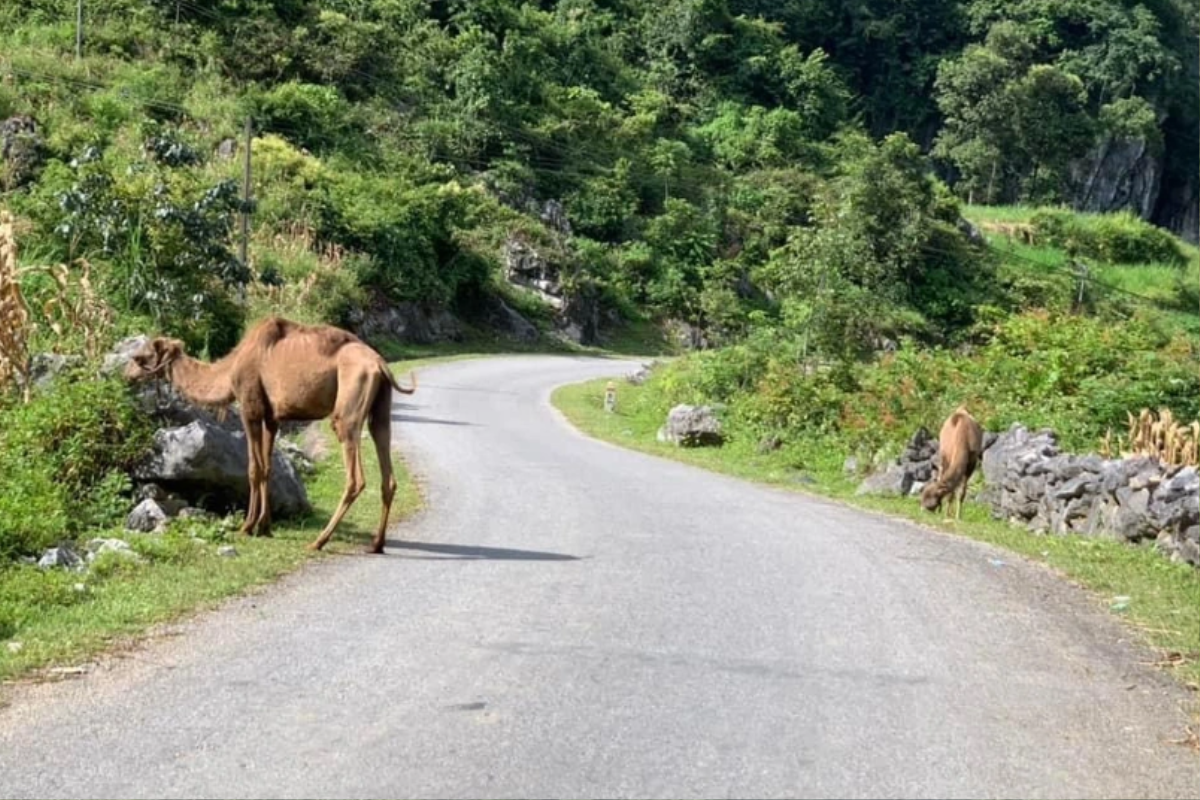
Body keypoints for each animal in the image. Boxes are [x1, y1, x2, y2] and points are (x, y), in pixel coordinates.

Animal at [123, 316, 417, 554]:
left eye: (140, 357)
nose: (126, 375)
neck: (229, 371)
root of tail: (380, 364)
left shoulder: (250, 407)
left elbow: (254, 468)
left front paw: (247, 526)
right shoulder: (272, 417)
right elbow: (267, 467)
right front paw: (264, 526)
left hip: (348, 408)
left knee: (355, 477)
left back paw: (319, 541)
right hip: (381, 407)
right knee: (387, 471)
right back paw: (376, 544)